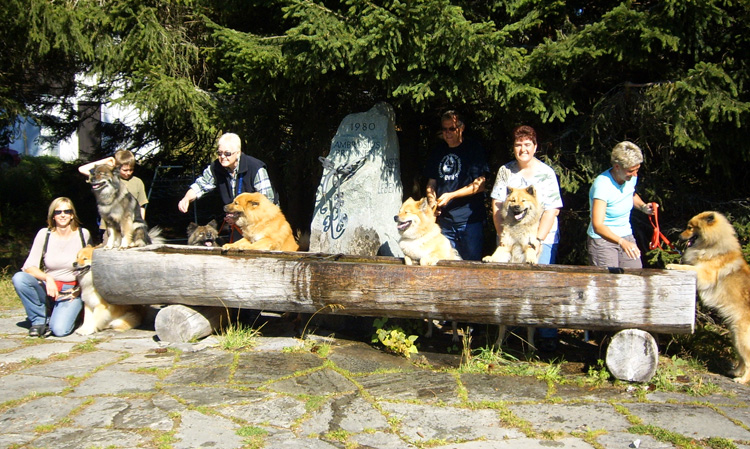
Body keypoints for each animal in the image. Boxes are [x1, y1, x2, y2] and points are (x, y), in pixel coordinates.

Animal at [396, 196, 462, 340]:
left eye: (406, 212)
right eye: (399, 211)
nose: (395, 217)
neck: (415, 238)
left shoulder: (440, 253)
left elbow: (424, 258)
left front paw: (425, 263)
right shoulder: (407, 253)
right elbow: (407, 259)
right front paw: (411, 264)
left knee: (454, 323)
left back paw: (455, 337)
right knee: (431, 320)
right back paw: (429, 333)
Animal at [668, 212, 750, 384]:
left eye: (690, 228)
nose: (679, 236)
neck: (713, 245)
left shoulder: (705, 273)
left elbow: (689, 267)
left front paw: (673, 265)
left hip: (742, 337)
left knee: (748, 360)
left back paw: (742, 379)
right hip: (735, 335)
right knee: (741, 358)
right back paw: (735, 372)